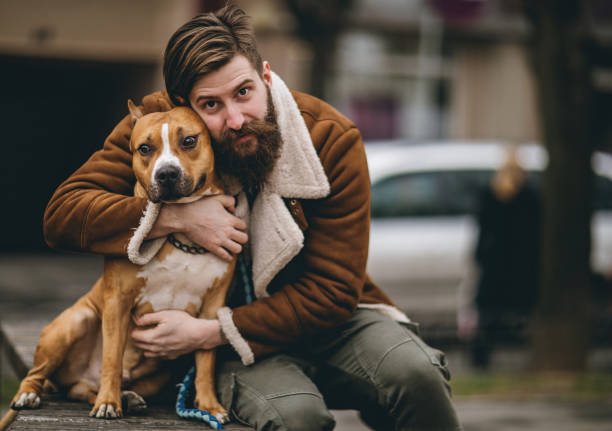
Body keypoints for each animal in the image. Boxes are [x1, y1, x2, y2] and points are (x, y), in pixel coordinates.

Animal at [8, 103, 235, 424]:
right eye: (144, 148)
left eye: (189, 141)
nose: (166, 173)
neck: (181, 233)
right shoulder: (117, 301)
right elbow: (112, 358)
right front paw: (108, 402)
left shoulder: (211, 307)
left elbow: (205, 362)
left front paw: (209, 406)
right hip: (73, 323)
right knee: (39, 373)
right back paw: (30, 395)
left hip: (159, 375)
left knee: (79, 390)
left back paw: (127, 396)